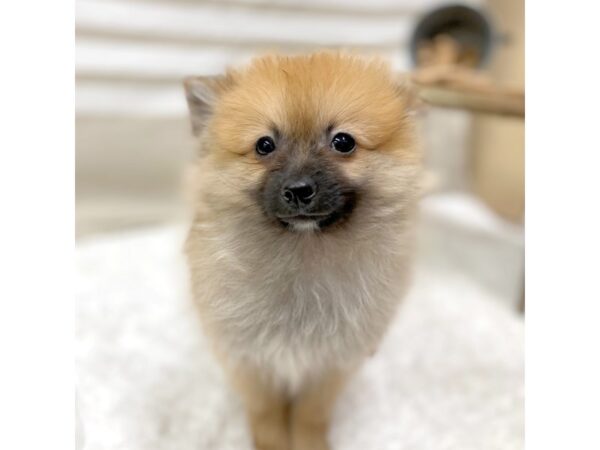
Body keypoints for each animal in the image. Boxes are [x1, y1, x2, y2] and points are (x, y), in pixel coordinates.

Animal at [183, 53, 422, 450]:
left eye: (343, 142)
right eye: (264, 145)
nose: (298, 189)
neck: (303, 251)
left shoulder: (329, 365)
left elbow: (311, 415)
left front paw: (311, 443)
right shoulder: (251, 360)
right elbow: (266, 414)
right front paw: (272, 444)